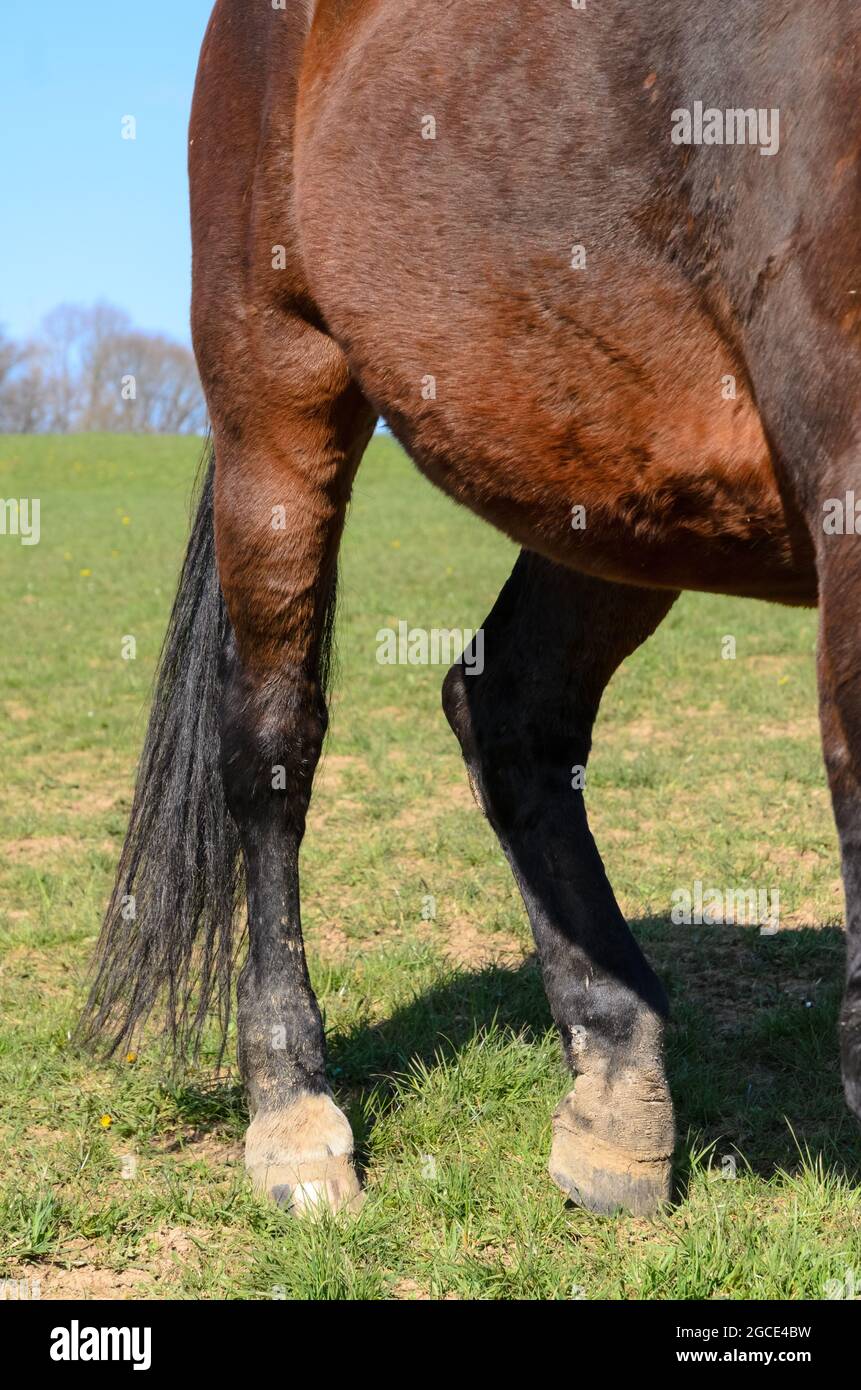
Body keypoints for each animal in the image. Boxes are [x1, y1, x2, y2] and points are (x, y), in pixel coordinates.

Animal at [82, 0, 861, 1217]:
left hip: (615, 470)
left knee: (509, 708)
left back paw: (613, 1086)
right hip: (275, 382)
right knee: (270, 743)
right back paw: (293, 1109)